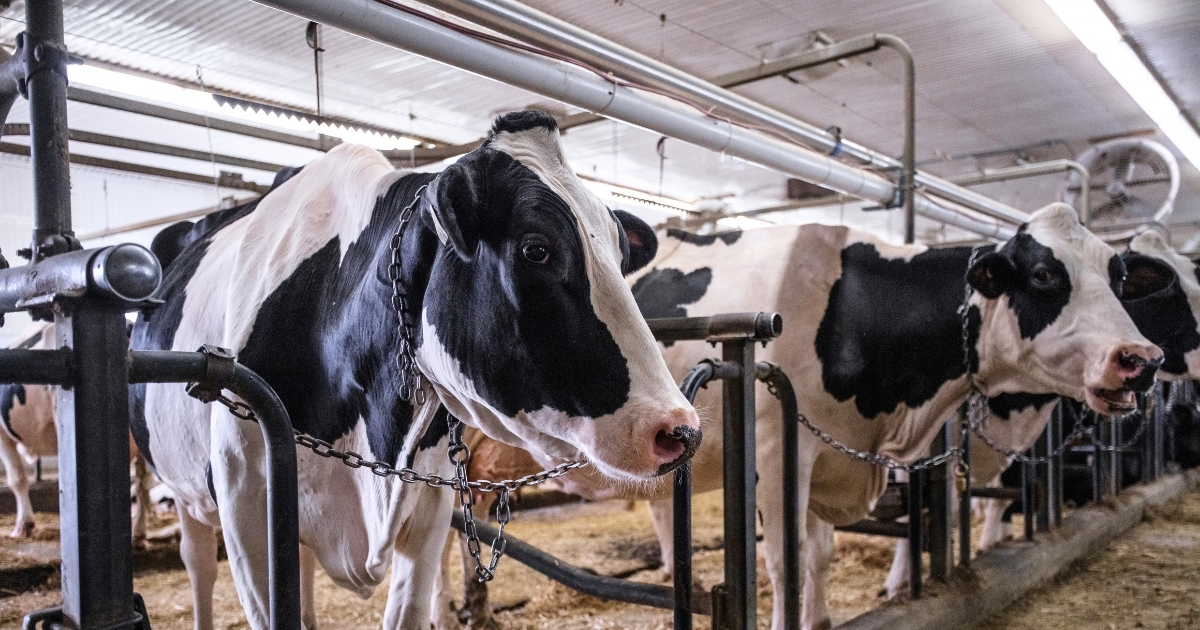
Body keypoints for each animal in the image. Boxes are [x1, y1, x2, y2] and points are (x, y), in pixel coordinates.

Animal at [130, 110, 700, 630]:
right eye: (536, 249)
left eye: (622, 258)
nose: (681, 430)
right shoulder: (246, 516)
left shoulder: (426, 505)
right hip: (188, 494)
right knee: (198, 564)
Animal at [442, 203, 1165, 630]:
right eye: (1044, 276)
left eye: (1117, 274)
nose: (1142, 359)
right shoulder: (774, 448)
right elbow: (787, 558)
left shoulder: (828, 450)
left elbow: (819, 554)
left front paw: (817, 617)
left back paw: (479, 609)